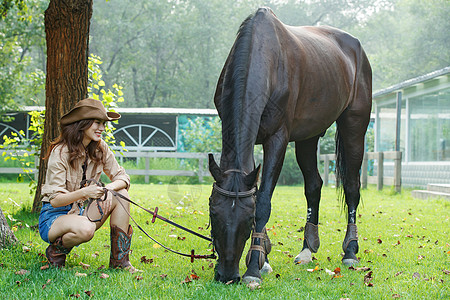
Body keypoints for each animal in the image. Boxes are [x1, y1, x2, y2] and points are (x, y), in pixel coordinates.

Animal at [209, 6, 370, 284]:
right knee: (314, 185)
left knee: (352, 186)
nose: (227, 275)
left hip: (354, 126)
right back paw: (307, 249)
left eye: (248, 219)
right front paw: (263, 258)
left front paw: (254, 268)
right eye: (213, 213)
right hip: (308, 137)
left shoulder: (278, 138)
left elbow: (264, 200)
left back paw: (350, 251)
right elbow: (258, 189)